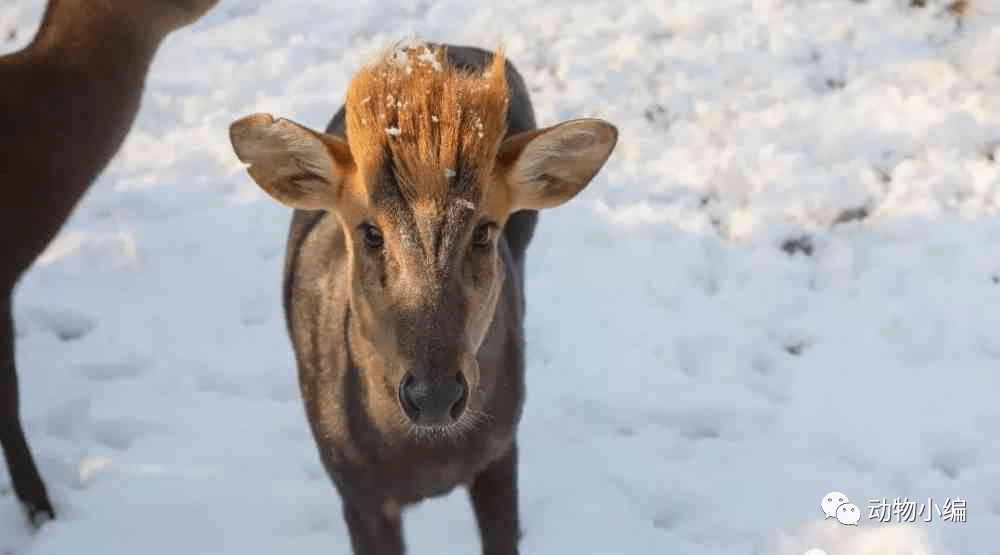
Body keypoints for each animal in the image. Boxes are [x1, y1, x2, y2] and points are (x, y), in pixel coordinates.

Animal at [229, 41, 616, 552]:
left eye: (484, 231)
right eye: (371, 232)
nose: (434, 396)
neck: (427, 461)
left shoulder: (501, 450)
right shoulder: (356, 488)